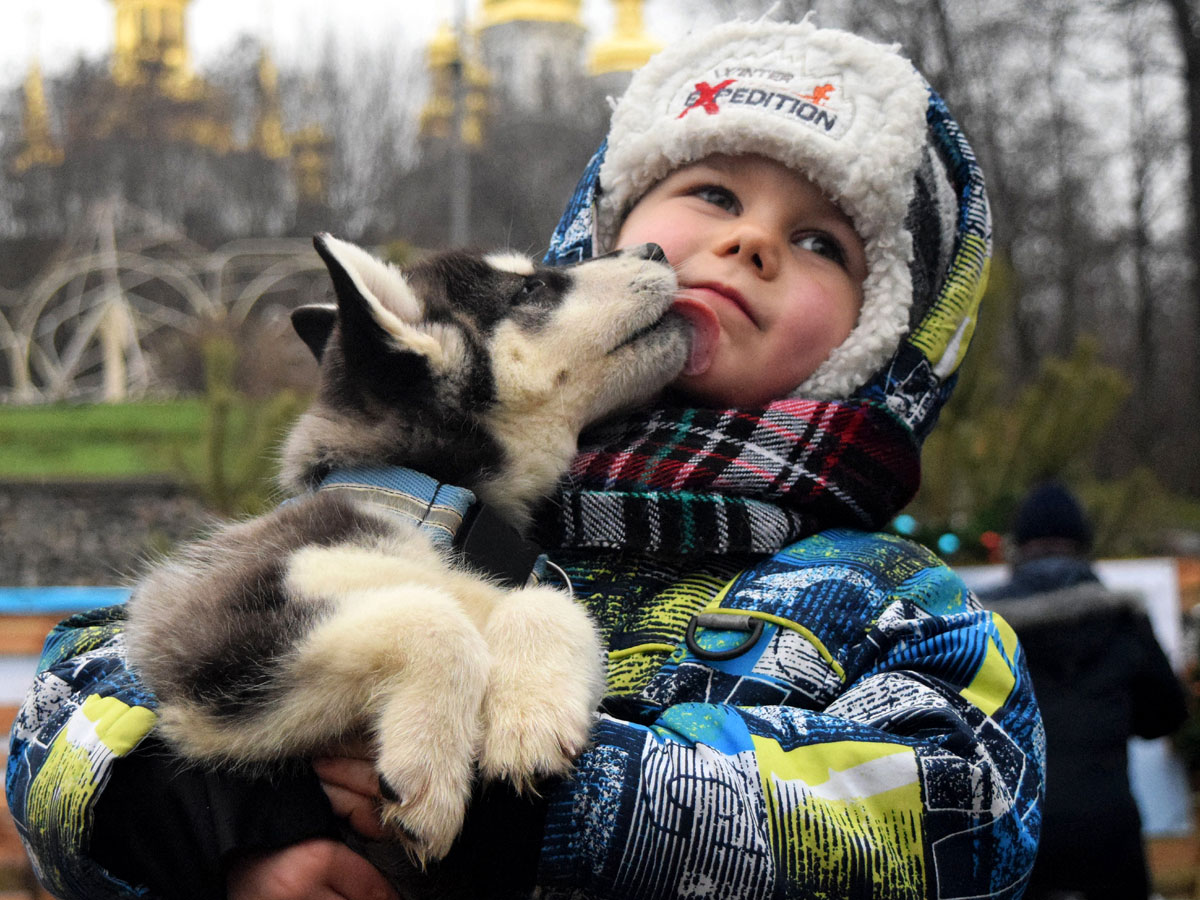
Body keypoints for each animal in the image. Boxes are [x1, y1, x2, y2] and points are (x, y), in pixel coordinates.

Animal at [125, 236, 691, 864]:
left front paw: (531, 716)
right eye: (530, 288)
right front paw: (430, 768)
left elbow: (548, 602)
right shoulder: (200, 641)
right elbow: (433, 618)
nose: (655, 247)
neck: (437, 505)